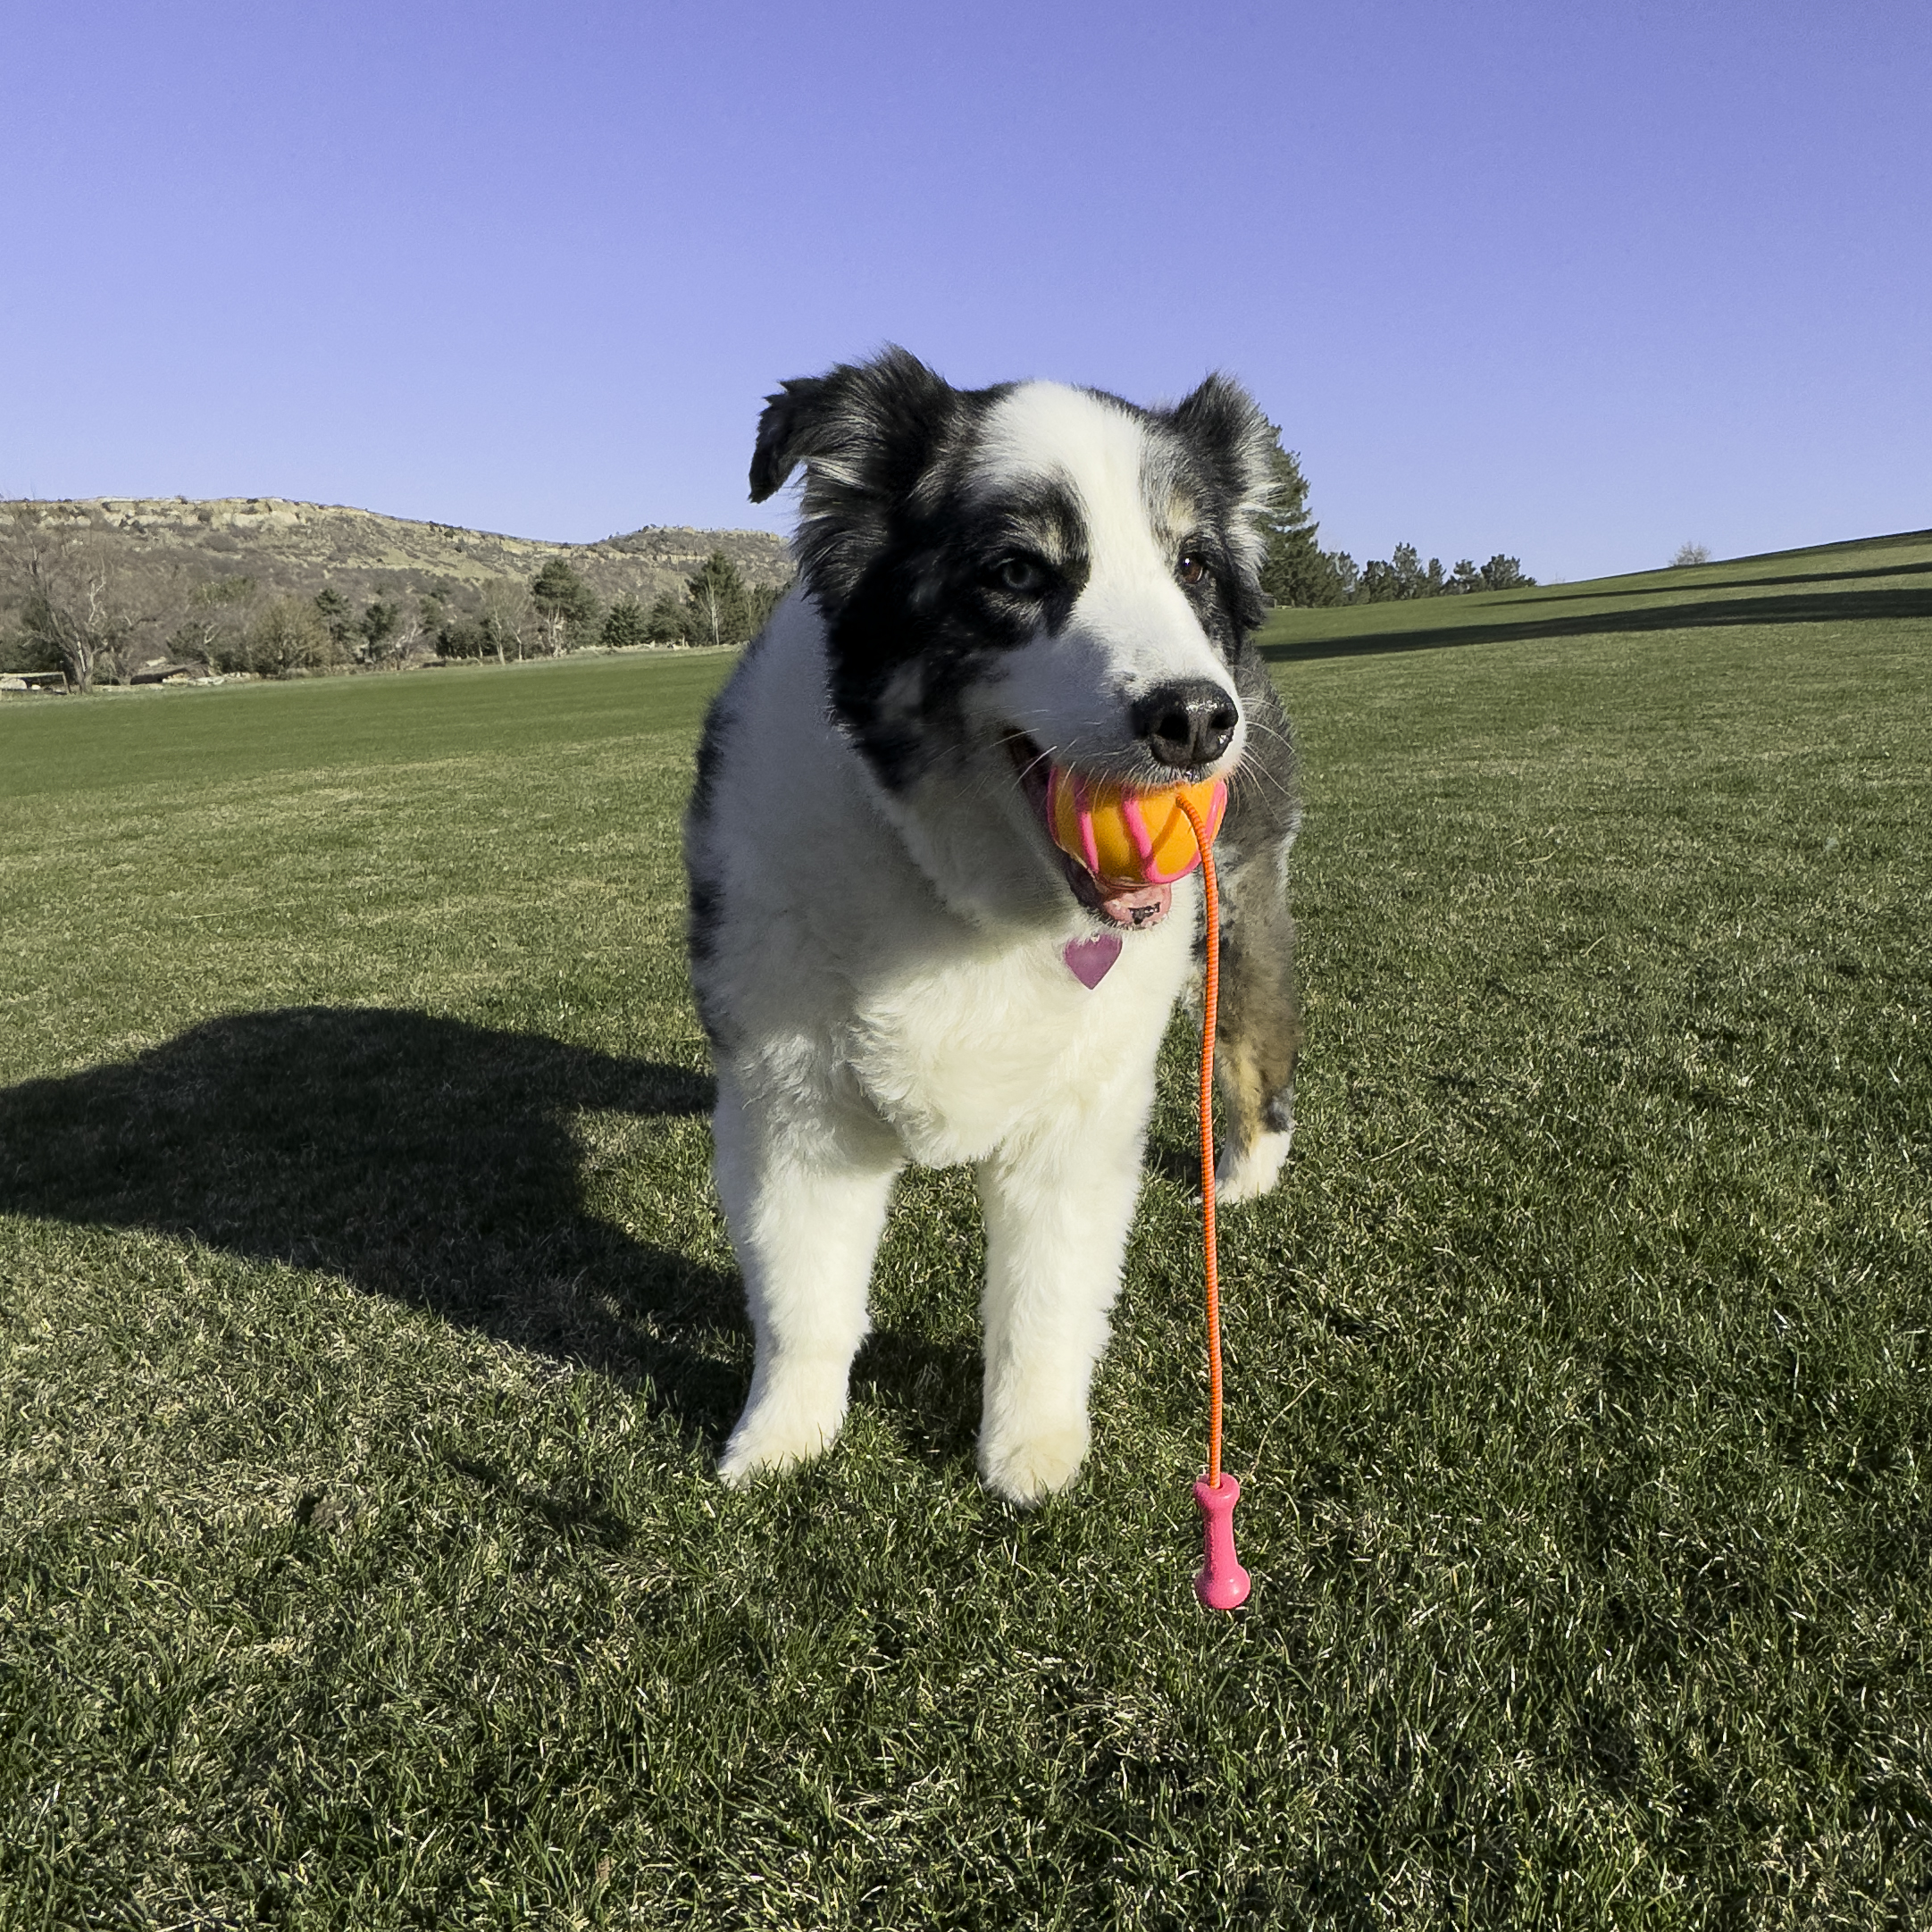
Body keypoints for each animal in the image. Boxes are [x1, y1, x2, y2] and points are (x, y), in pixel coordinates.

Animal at [680, 351, 1298, 1507]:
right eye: (1017, 572)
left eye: (1192, 563)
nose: (1197, 718)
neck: (972, 901)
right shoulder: (790, 1108)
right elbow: (802, 1298)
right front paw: (781, 1437)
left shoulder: (1082, 1119)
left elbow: (1044, 1304)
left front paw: (1031, 1450)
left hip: (1240, 904)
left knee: (1255, 1035)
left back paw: (1246, 1170)